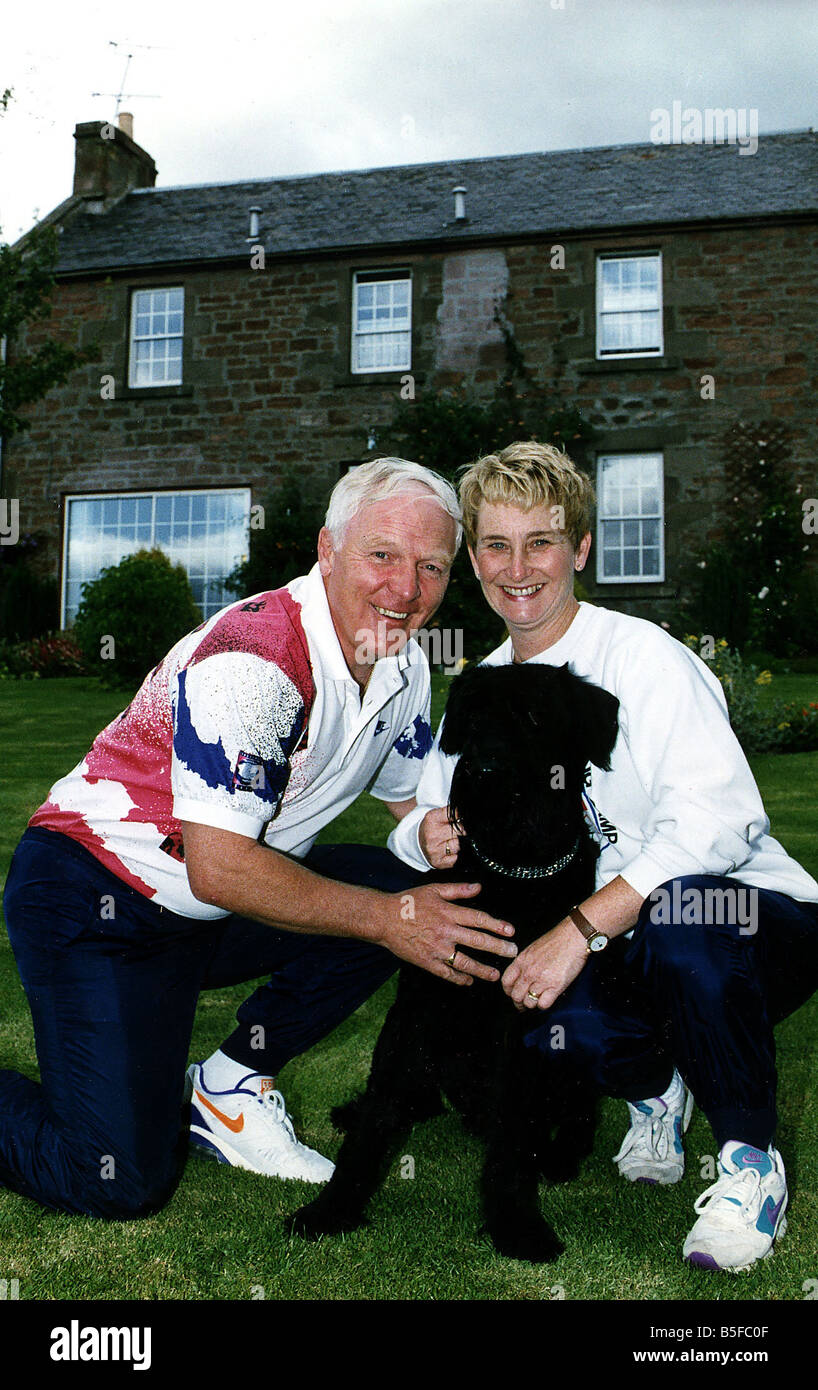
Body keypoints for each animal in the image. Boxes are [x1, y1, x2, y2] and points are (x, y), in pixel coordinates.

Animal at [290, 661, 617, 1262]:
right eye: (475, 715)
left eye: (535, 714)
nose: (483, 770)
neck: (511, 869)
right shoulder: (418, 1004)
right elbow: (378, 1116)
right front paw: (333, 1208)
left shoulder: (523, 1019)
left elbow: (514, 1134)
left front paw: (517, 1224)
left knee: (578, 1111)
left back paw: (560, 1155)